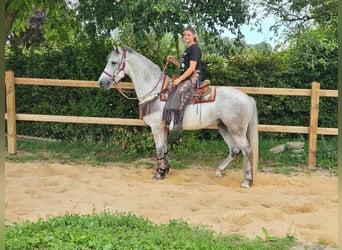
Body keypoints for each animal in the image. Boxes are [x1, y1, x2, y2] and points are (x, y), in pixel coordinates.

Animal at [97, 46, 258, 188]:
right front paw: (165, 169)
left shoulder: (157, 127)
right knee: (234, 149)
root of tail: (248, 98)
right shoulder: (164, 127)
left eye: (113, 62)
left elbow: (159, 148)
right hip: (223, 126)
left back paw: (246, 181)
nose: (101, 83)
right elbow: (165, 147)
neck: (156, 91)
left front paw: (159, 173)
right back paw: (220, 171)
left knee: (246, 150)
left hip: (236, 130)